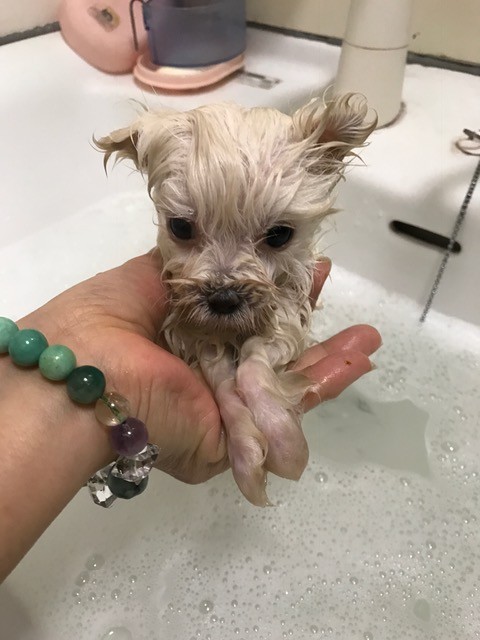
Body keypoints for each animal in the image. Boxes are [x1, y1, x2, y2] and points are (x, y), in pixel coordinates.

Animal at [96, 94, 376, 506]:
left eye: (279, 235)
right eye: (180, 227)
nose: (224, 299)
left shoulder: (285, 313)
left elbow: (253, 369)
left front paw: (281, 438)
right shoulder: (197, 334)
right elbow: (224, 383)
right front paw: (246, 451)